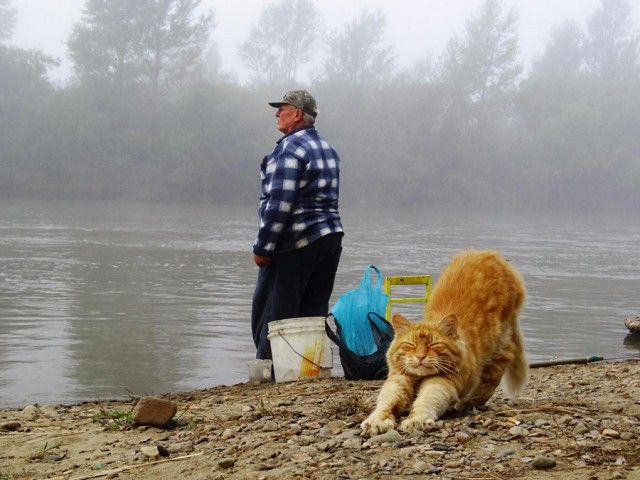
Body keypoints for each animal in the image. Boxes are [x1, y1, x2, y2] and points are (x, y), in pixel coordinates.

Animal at [362, 249, 528, 436]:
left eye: (434, 345)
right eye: (411, 345)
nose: (420, 357)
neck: (420, 377)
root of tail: (492, 254)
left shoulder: (442, 383)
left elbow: (425, 401)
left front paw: (416, 420)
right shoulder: (398, 379)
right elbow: (385, 402)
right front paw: (375, 421)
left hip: (498, 344)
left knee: (499, 368)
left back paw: (468, 402)